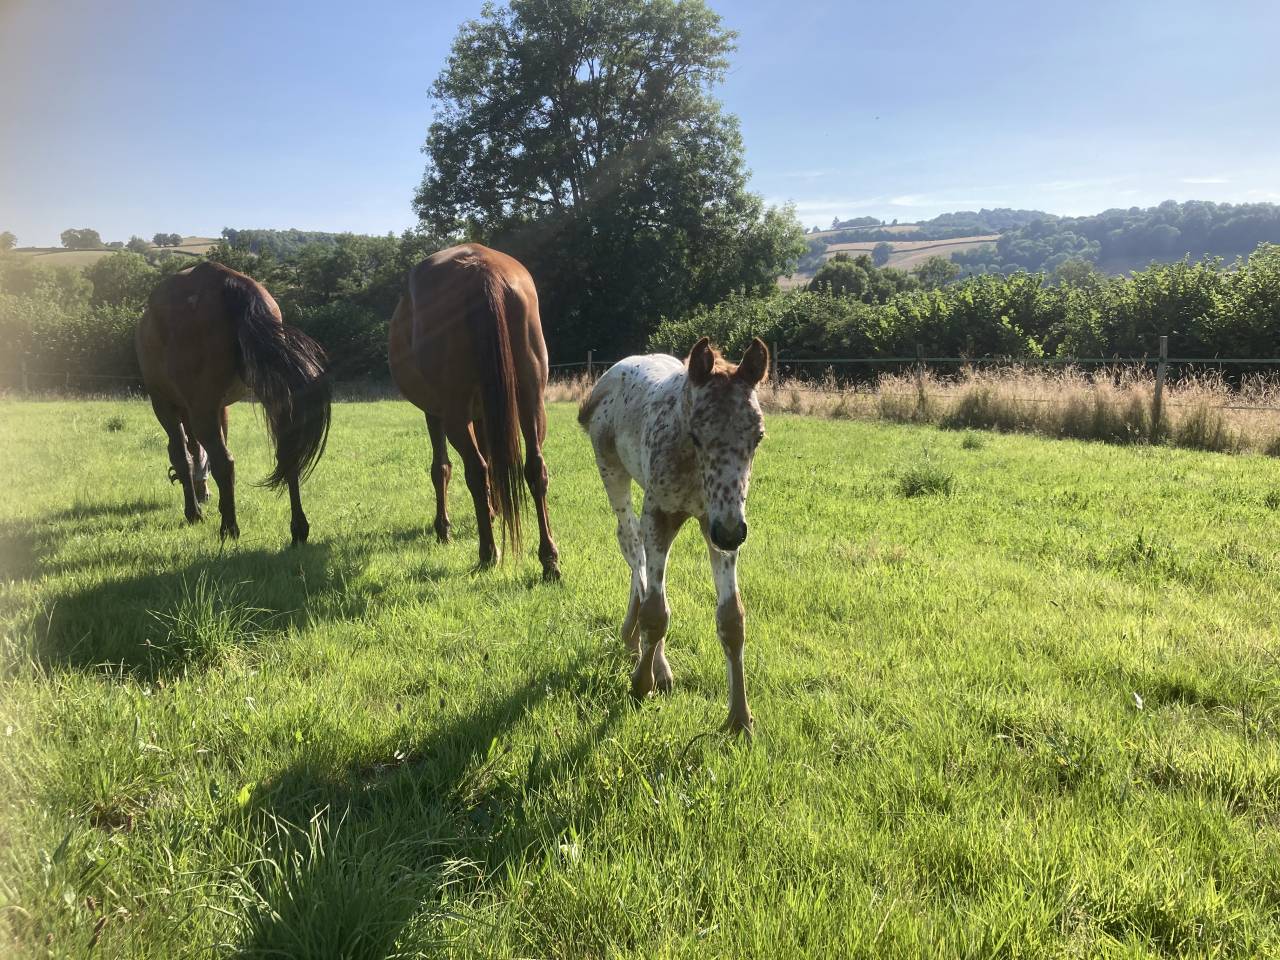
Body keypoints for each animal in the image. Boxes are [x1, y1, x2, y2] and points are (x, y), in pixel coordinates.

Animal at [136, 261, 331, 545]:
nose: (203, 493)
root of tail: (227, 280)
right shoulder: (222, 408)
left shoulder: (166, 406)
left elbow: (182, 456)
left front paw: (194, 512)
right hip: (272, 397)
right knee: (288, 456)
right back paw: (298, 529)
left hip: (201, 408)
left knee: (224, 461)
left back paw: (228, 528)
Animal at [388, 243, 560, 580]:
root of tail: (481, 270)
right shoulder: (485, 412)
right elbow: (495, 460)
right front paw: (495, 509)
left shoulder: (435, 412)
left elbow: (441, 467)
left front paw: (444, 528)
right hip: (531, 400)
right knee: (535, 468)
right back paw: (549, 559)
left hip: (454, 414)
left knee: (475, 471)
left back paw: (488, 553)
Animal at [578, 337, 770, 735]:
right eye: (696, 435)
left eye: (758, 437)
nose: (731, 533)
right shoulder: (661, 514)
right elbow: (656, 611)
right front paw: (641, 683)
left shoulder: (719, 521)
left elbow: (732, 619)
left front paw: (739, 719)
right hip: (613, 472)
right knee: (631, 544)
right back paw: (645, 653)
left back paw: (637, 644)